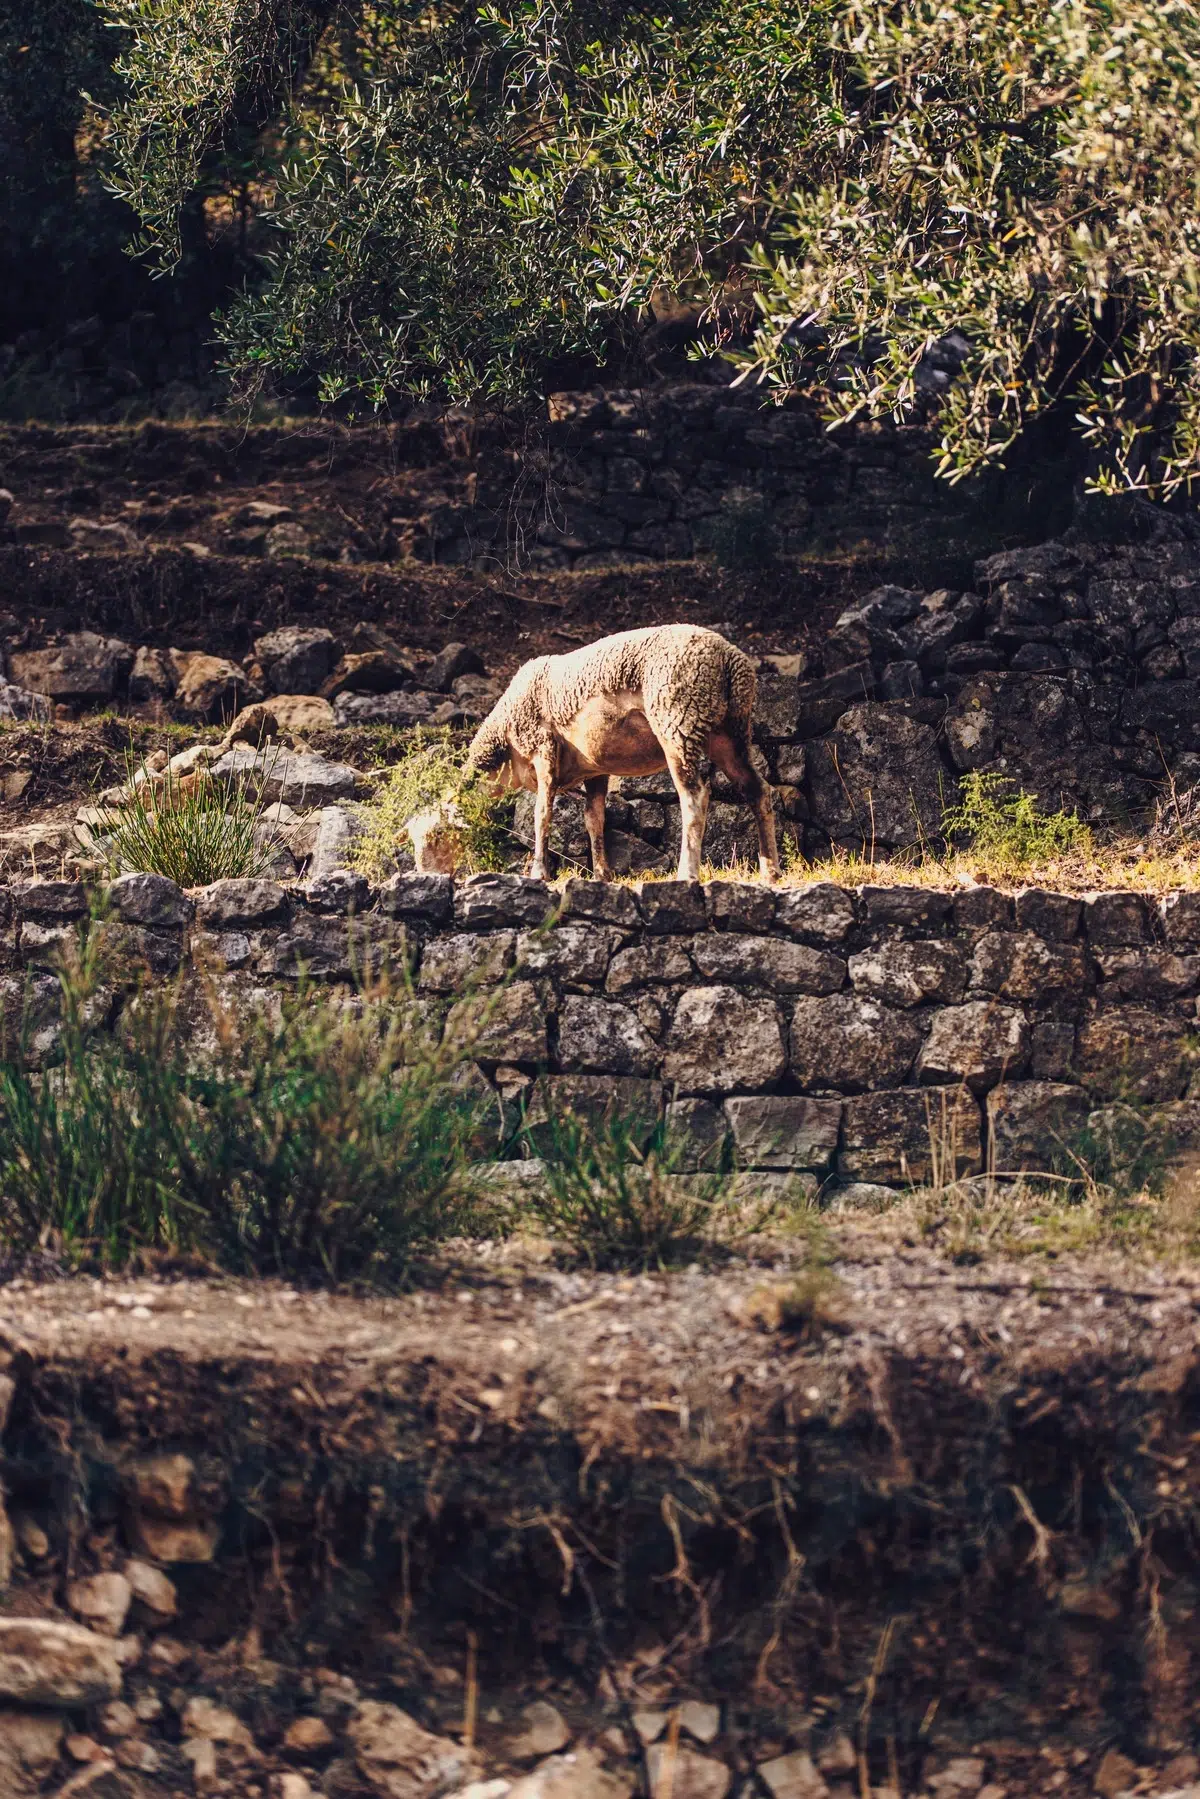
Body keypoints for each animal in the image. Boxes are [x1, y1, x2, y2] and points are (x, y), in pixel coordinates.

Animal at [460, 626, 780, 885]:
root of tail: (729, 660)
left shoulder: (543, 748)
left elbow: (542, 813)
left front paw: (540, 873)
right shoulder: (595, 768)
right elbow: (594, 819)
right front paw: (602, 874)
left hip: (677, 721)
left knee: (695, 797)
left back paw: (687, 874)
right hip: (730, 733)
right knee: (758, 790)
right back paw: (770, 871)